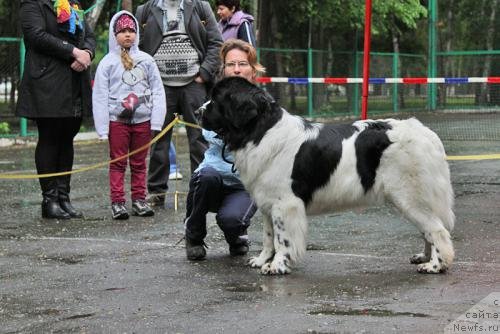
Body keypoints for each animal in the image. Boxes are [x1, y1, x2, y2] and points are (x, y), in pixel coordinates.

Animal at [200, 77, 454, 276]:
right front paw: (262, 260)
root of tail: (426, 133)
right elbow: (268, 235)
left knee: (437, 230)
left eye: (216, 100)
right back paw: (424, 257)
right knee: (429, 229)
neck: (260, 130)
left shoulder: (285, 204)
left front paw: (277, 266)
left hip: (409, 196)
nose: (198, 111)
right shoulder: (266, 202)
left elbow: (282, 238)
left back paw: (435, 265)